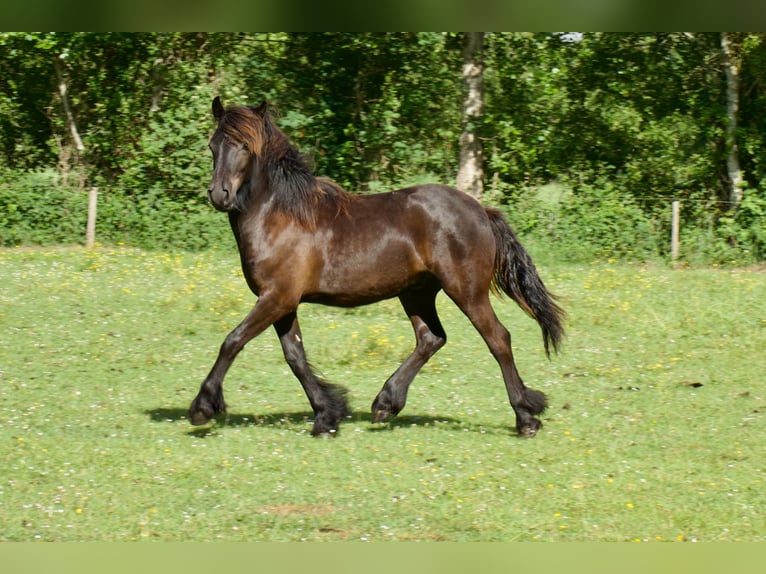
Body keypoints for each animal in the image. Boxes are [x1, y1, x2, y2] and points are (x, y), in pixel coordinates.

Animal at [188, 96, 566, 438]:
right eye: (213, 145)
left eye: (244, 146)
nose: (219, 194)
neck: (280, 218)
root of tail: (482, 212)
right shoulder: (283, 302)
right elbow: (295, 356)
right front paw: (326, 416)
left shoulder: (276, 298)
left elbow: (233, 341)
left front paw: (203, 408)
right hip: (416, 292)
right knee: (431, 338)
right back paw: (386, 403)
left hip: (466, 291)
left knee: (498, 338)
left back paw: (526, 418)